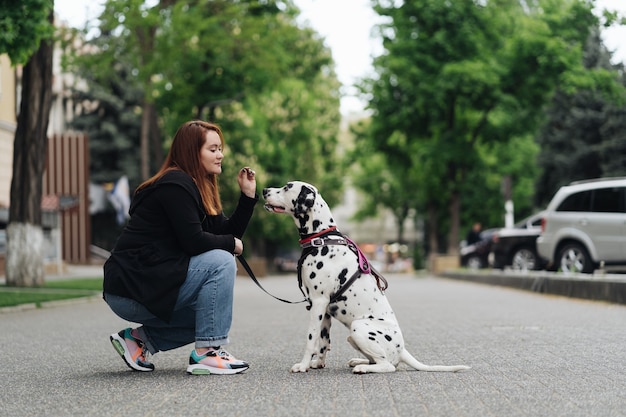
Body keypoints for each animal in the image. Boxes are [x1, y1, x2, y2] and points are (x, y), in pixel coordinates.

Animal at [260, 180, 468, 372]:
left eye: (287, 187)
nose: (264, 190)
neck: (321, 238)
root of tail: (402, 350)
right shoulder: (324, 309)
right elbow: (323, 342)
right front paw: (317, 364)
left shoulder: (318, 302)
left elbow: (311, 339)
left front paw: (302, 366)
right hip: (353, 336)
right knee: (381, 360)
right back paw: (359, 361)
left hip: (358, 327)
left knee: (388, 365)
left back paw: (363, 368)